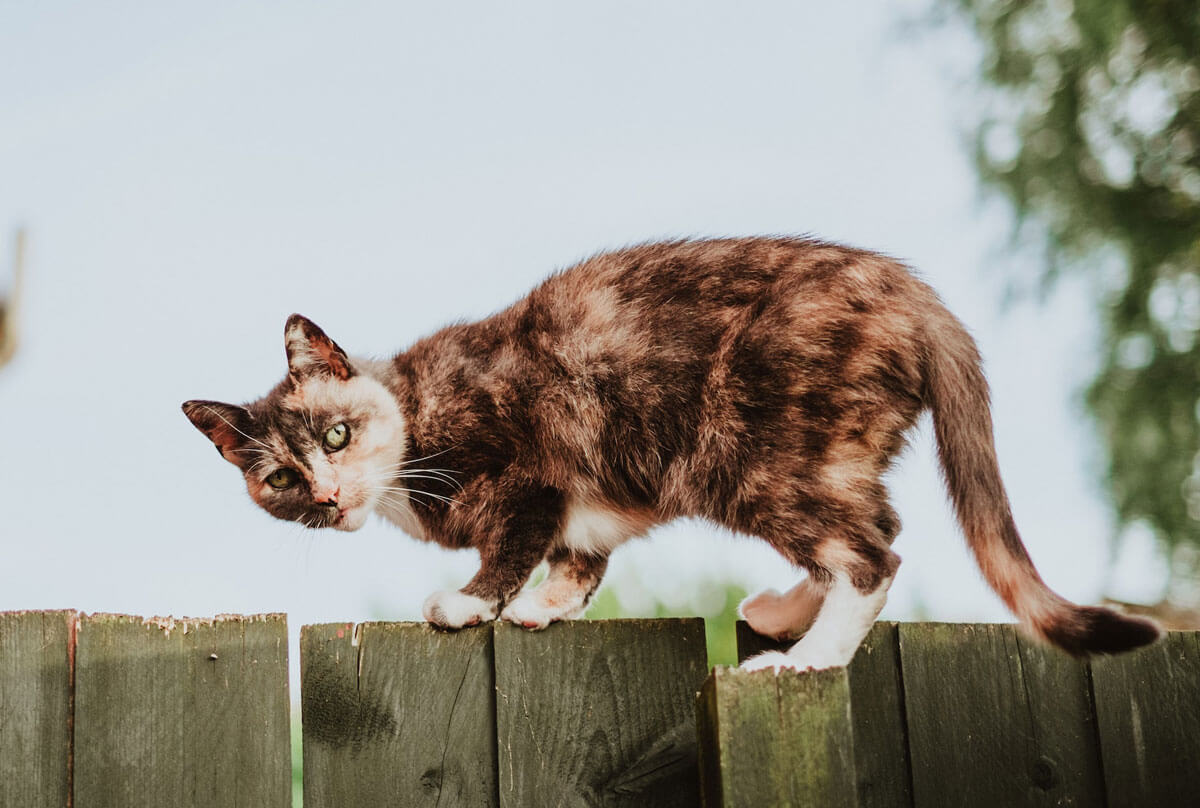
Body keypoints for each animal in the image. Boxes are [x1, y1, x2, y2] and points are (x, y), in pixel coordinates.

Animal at [184, 236, 1161, 672]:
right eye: (280, 479)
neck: (415, 415)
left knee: (872, 554)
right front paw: (547, 608)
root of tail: (908, 287)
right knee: (876, 524)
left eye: (336, 433)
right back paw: (782, 614)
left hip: (749, 457)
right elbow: (580, 560)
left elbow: (513, 544)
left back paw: (810, 657)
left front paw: (470, 604)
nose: (328, 494)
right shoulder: (584, 509)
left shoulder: (531, 472)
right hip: (823, 455)